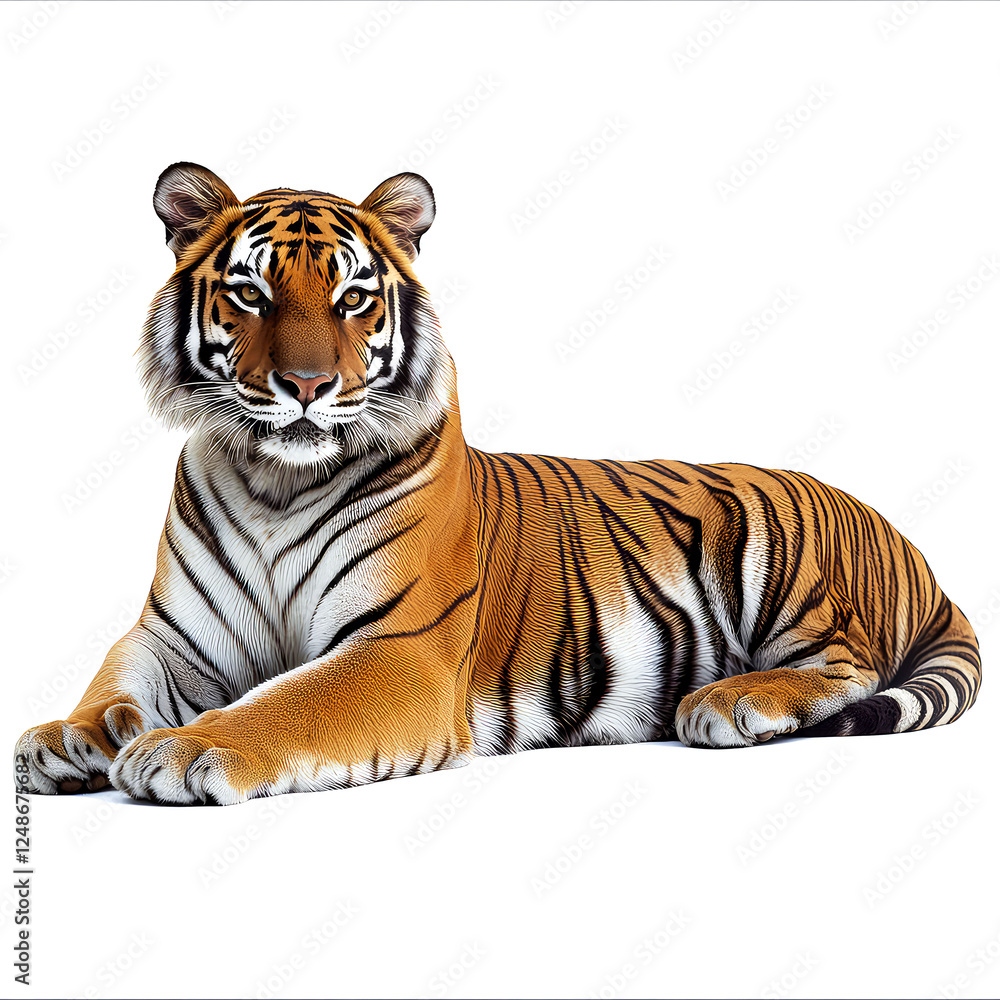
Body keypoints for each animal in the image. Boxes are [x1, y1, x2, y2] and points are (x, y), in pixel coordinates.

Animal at [14, 163, 981, 805]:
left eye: (353, 298)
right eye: (250, 295)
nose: (306, 385)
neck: (272, 482)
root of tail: (903, 537)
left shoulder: (399, 651)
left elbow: (283, 702)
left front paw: (181, 749)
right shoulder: (175, 637)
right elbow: (115, 678)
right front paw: (68, 737)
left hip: (768, 541)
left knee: (848, 661)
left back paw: (731, 702)